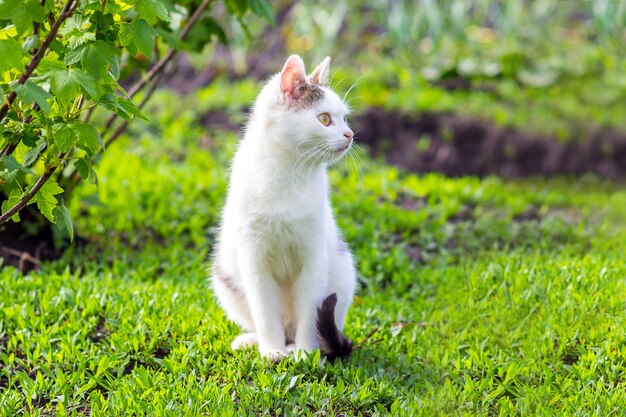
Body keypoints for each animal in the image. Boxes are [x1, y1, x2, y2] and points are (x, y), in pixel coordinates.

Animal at [211, 54, 354, 360]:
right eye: (325, 119)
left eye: (344, 118)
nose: (350, 134)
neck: (289, 174)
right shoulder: (253, 257)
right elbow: (264, 310)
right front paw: (271, 351)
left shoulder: (314, 255)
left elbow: (310, 310)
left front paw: (306, 353)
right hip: (224, 277)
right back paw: (256, 342)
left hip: (344, 273)